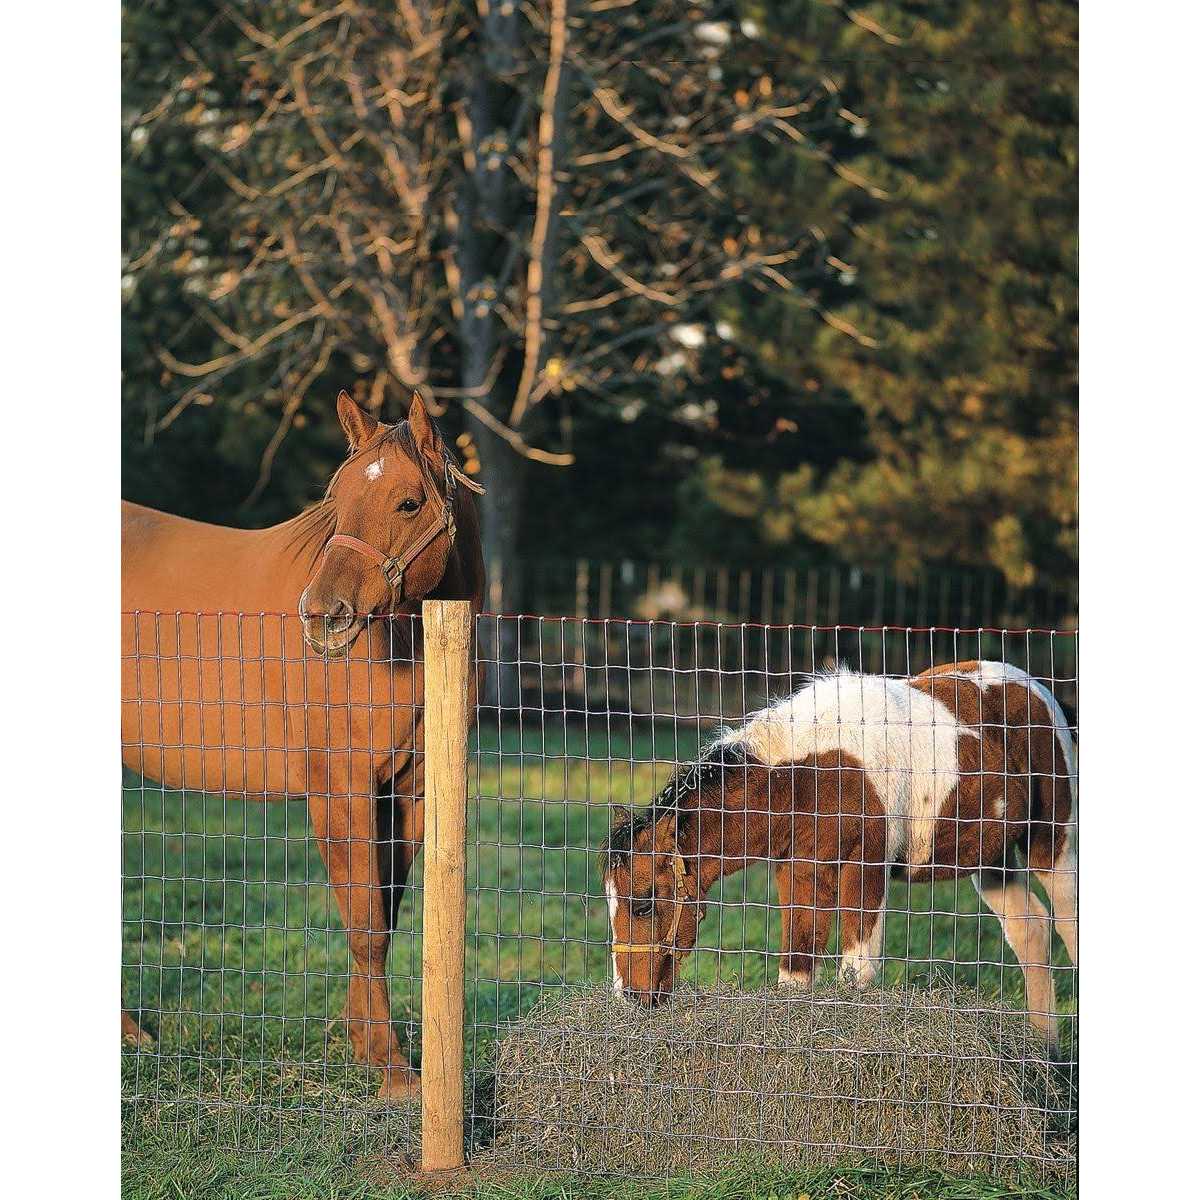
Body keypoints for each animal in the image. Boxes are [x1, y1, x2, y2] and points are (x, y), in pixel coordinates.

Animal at [122, 390, 485, 1097]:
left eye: (408, 503)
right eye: (336, 500)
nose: (322, 616)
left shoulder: (406, 792)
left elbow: (384, 916)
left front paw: (364, 1044)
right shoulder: (340, 789)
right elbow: (365, 921)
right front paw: (393, 1069)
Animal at [601, 660, 1078, 1047]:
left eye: (643, 905)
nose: (630, 997)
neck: (807, 776)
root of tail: (1036, 688)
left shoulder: (864, 872)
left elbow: (856, 975)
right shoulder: (798, 874)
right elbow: (795, 973)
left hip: (1051, 842)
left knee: (1066, 923)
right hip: (991, 858)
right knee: (1030, 929)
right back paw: (1044, 1051)